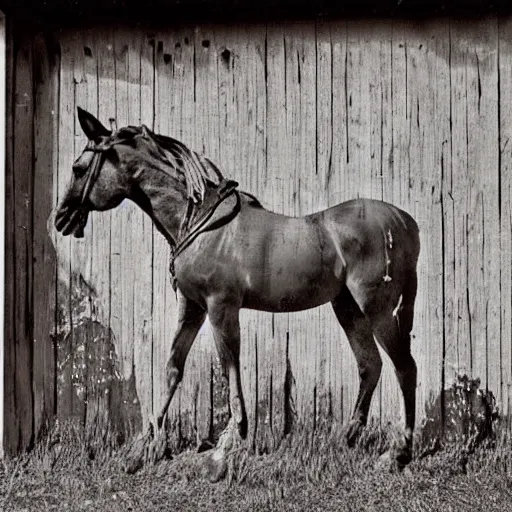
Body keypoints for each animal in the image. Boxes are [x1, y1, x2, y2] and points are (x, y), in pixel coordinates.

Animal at [55, 108, 420, 480]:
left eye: (79, 168)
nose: (61, 218)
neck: (200, 223)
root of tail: (404, 221)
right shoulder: (192, 306)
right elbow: (173, 366)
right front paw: (146, 447)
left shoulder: (221, 307)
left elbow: (229, 367)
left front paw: (226, 447)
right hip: (348, 308)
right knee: (370, 366)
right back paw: (347, 438)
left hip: (379, 310)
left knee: (405, 368)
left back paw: (398, 452)